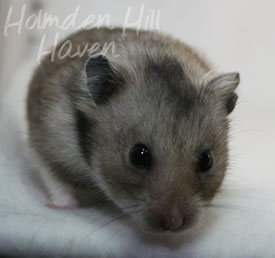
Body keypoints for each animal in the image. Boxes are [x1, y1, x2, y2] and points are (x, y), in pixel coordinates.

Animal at [27, 27, 240, 233]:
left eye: (207, 160)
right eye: (138, 155)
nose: (173, 225)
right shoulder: (46, 145)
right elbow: (56, 181)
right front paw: (59, 207)